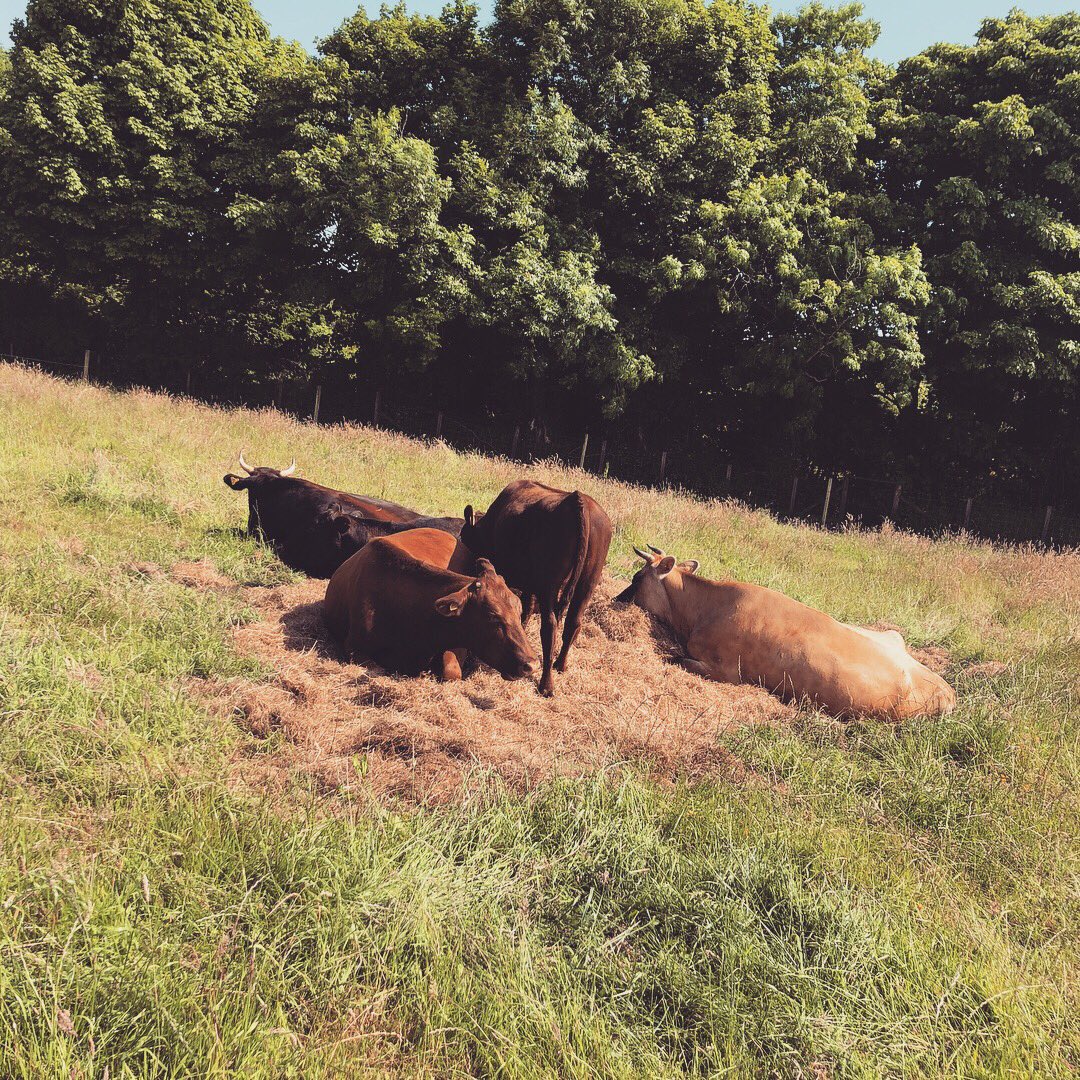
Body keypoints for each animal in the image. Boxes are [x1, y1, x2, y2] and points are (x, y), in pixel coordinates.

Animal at [459, 479, 613, 696]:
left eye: (464, 537)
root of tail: (578, 499)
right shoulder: (531, 584)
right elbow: (527, 607)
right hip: (587, 583)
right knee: (573, 623)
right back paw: (560, 665)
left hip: (549, 585)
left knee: (550, 627)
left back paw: (546, 685)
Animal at [615, 545, 956, 720]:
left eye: (636, 577)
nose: (616, 599)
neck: (704, 608)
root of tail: (947, 690)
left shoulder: (724, 670)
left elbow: (673, 659)